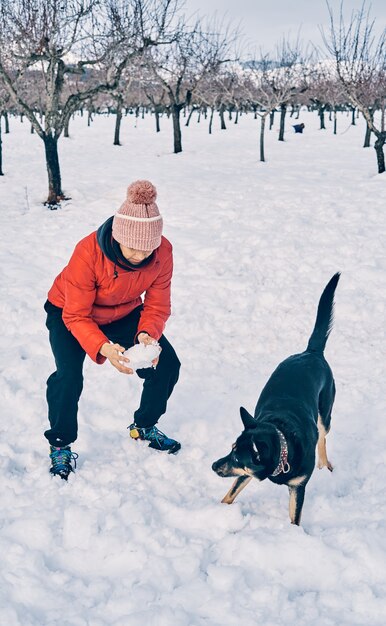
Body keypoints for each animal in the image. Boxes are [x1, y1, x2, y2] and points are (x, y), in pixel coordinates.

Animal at [211, 272, 340, 520]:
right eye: (231, 448)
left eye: (237, 457)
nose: (214, 465)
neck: (283, 446)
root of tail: (311, 352)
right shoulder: (246, 473)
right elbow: (229, 495)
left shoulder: (298, 486)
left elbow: (294, 519)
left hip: (325, 411)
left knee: (323, 436)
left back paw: (324, 464)